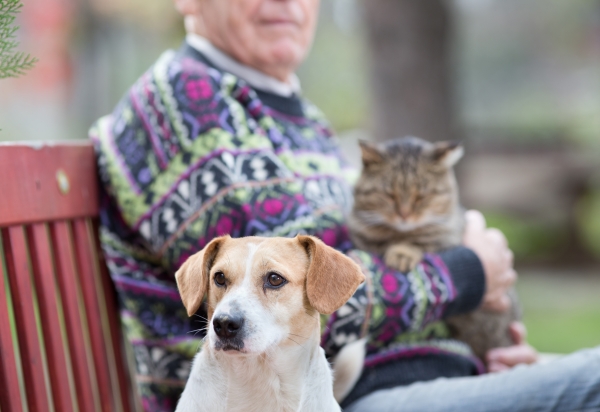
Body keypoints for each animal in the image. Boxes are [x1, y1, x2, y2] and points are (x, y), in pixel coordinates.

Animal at [346, 136, 520, 360]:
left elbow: (422, 241)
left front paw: (402, 252)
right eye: (390, 195)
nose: (404, 215)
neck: (399, 234)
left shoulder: (449, 235)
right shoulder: (361, 236)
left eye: (422, 196)